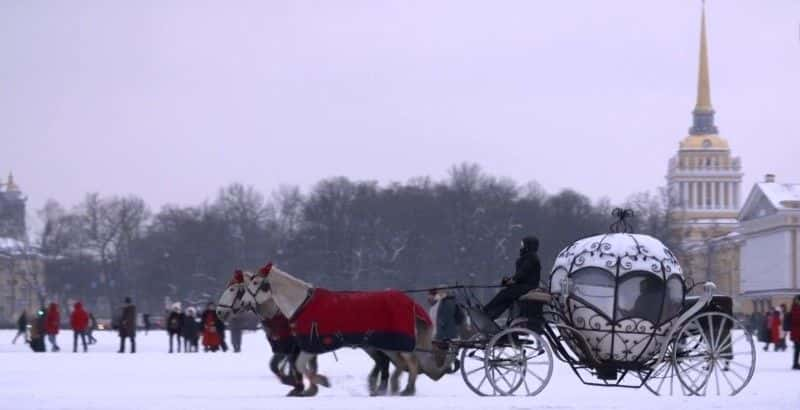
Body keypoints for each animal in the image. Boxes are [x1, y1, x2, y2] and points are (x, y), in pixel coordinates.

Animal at [244, 264, 456, 396]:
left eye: (255, 282)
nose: (245, 302)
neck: (302, 304)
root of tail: (409, 301)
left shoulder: (311, 346)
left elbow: (300, 366)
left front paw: (321, 382)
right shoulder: (308, 347)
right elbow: (300, 366)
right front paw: (313, 387)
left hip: (399, 344)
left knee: (411, 364)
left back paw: (407, 390)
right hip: (388, 346)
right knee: (399, 365)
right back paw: (387, 389)